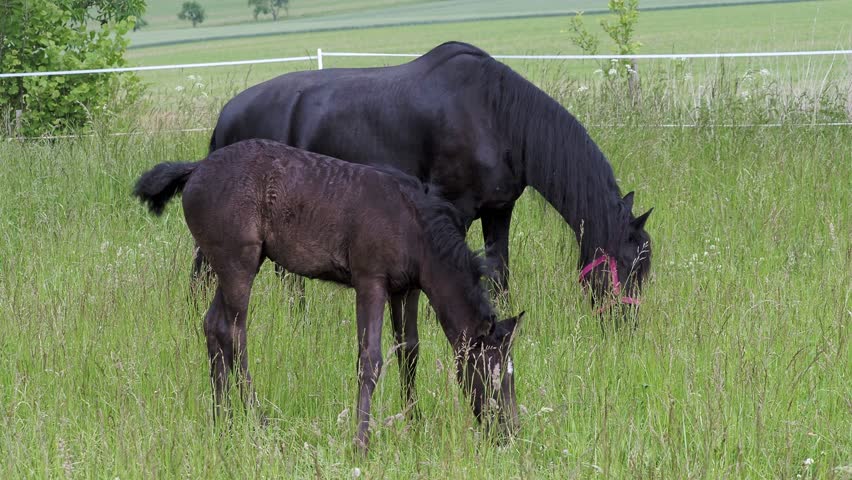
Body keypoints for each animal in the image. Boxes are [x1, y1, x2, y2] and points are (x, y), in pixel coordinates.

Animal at [133, 139, 523, 451]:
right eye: (494, 374)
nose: (510, 433)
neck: (413, 226)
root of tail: (196, 168)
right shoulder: (370, 282)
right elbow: (370, 359)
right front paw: (361, 443)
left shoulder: (406, 290)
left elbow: (409, 351)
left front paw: (414, 425)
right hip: (237, 264)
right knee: (234, 333)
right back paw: (258, 420)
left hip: (233, 265)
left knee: (213, 325)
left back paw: (223, 420)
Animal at [206, 40, 653, 325]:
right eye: (629, 264)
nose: (627, 322)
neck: (495, 116)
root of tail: (227, 114)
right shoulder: (455, 208)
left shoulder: (498, 211)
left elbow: (500, 271)